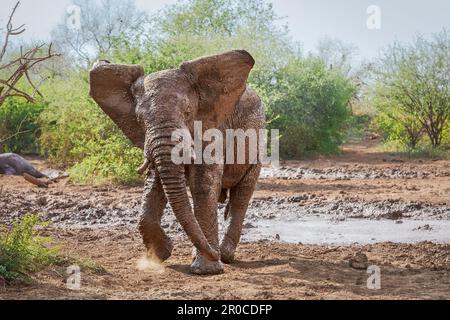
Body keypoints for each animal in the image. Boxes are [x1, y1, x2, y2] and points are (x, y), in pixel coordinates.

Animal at [89, 50, 264, 276]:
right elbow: (155, 184)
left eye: (188, 111)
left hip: (258, 142)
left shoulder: (212, 127)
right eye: (139, 119)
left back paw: (225, 255)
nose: (213, 254)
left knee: (241, 197)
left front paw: (207, 270)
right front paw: (161, 254)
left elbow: (203, 185)